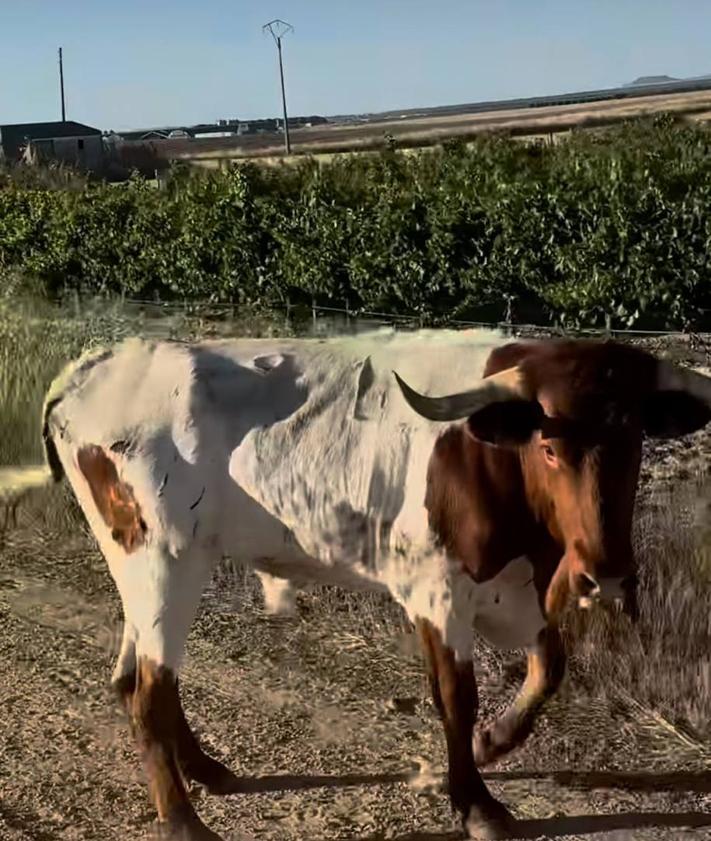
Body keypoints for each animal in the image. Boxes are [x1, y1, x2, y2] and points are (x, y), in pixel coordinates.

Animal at [5, 330, 711, 840]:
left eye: (635, 442)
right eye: (549, 447)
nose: (606, 576)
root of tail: (88, 369)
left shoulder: (516, 589)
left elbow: (549, 667)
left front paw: (493, 742)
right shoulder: (435, 591)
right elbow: (456, 697)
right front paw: (475, 803)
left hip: (148, 567)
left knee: (135, 677)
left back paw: (207, 771)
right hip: (161, 559)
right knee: (148, 691)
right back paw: (182, 821)